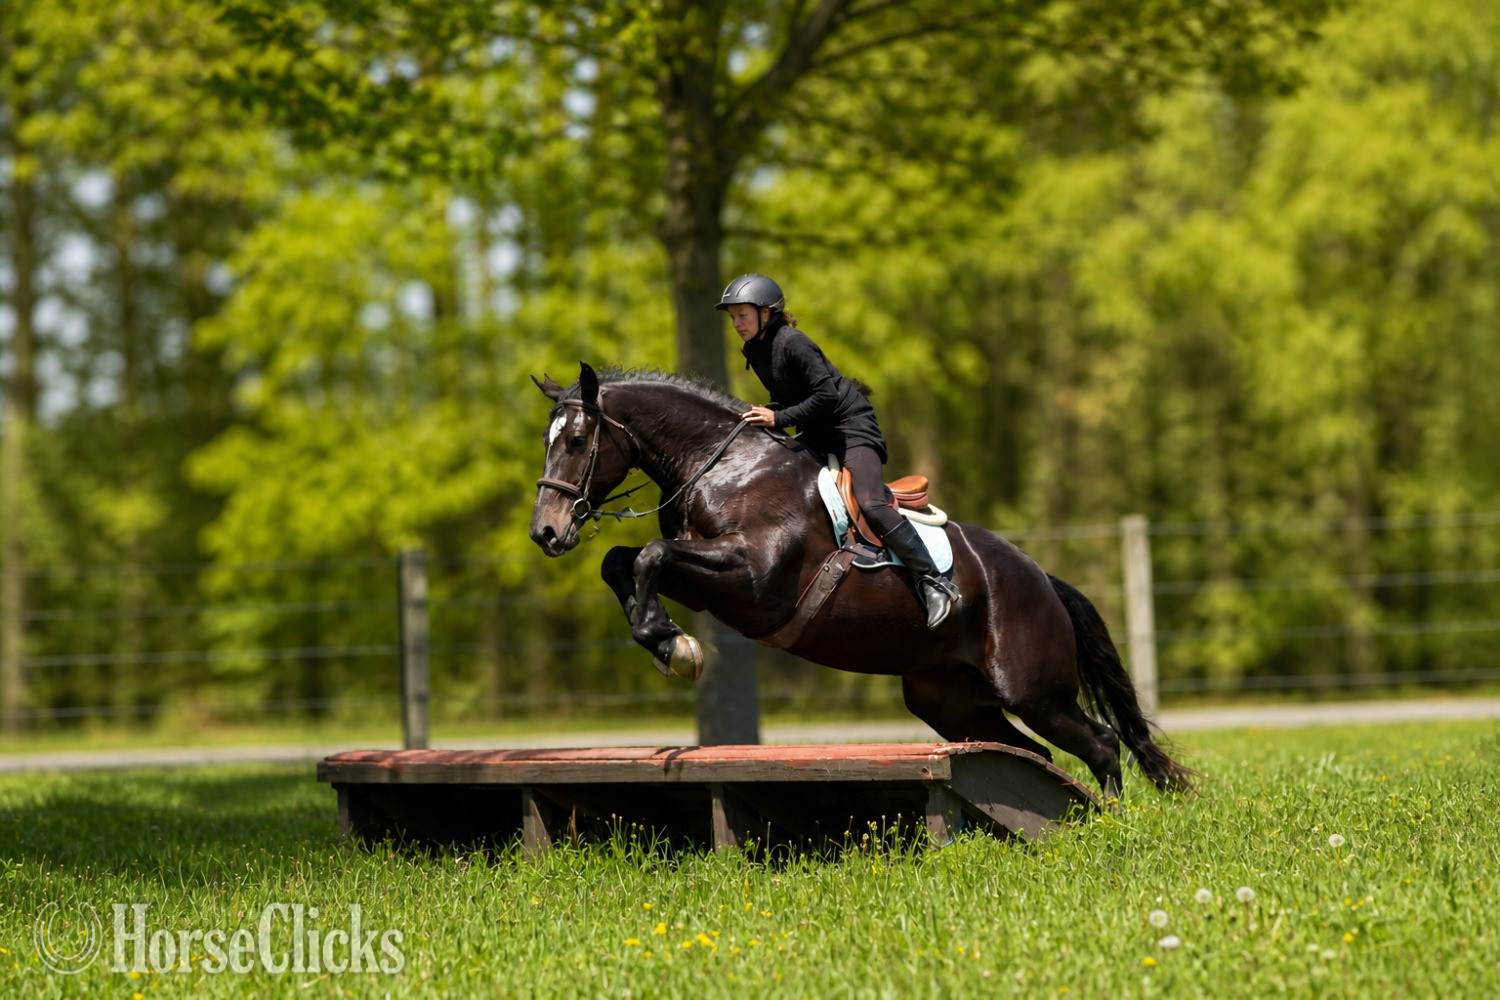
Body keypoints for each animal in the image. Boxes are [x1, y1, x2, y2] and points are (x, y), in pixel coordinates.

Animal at [528, 363, 1192, 797]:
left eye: (578, 440)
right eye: (546, 440)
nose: (546, 532)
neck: (721, 466)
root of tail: (1044, 580)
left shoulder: (752, 580)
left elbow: (650, 555)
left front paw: (676, 649)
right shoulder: (708, 580)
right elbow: (627, 560)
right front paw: (665, 639)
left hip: (1033, 691)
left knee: (1101, 743)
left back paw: (1108, 822)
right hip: (949, 700)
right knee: (1032, 752)